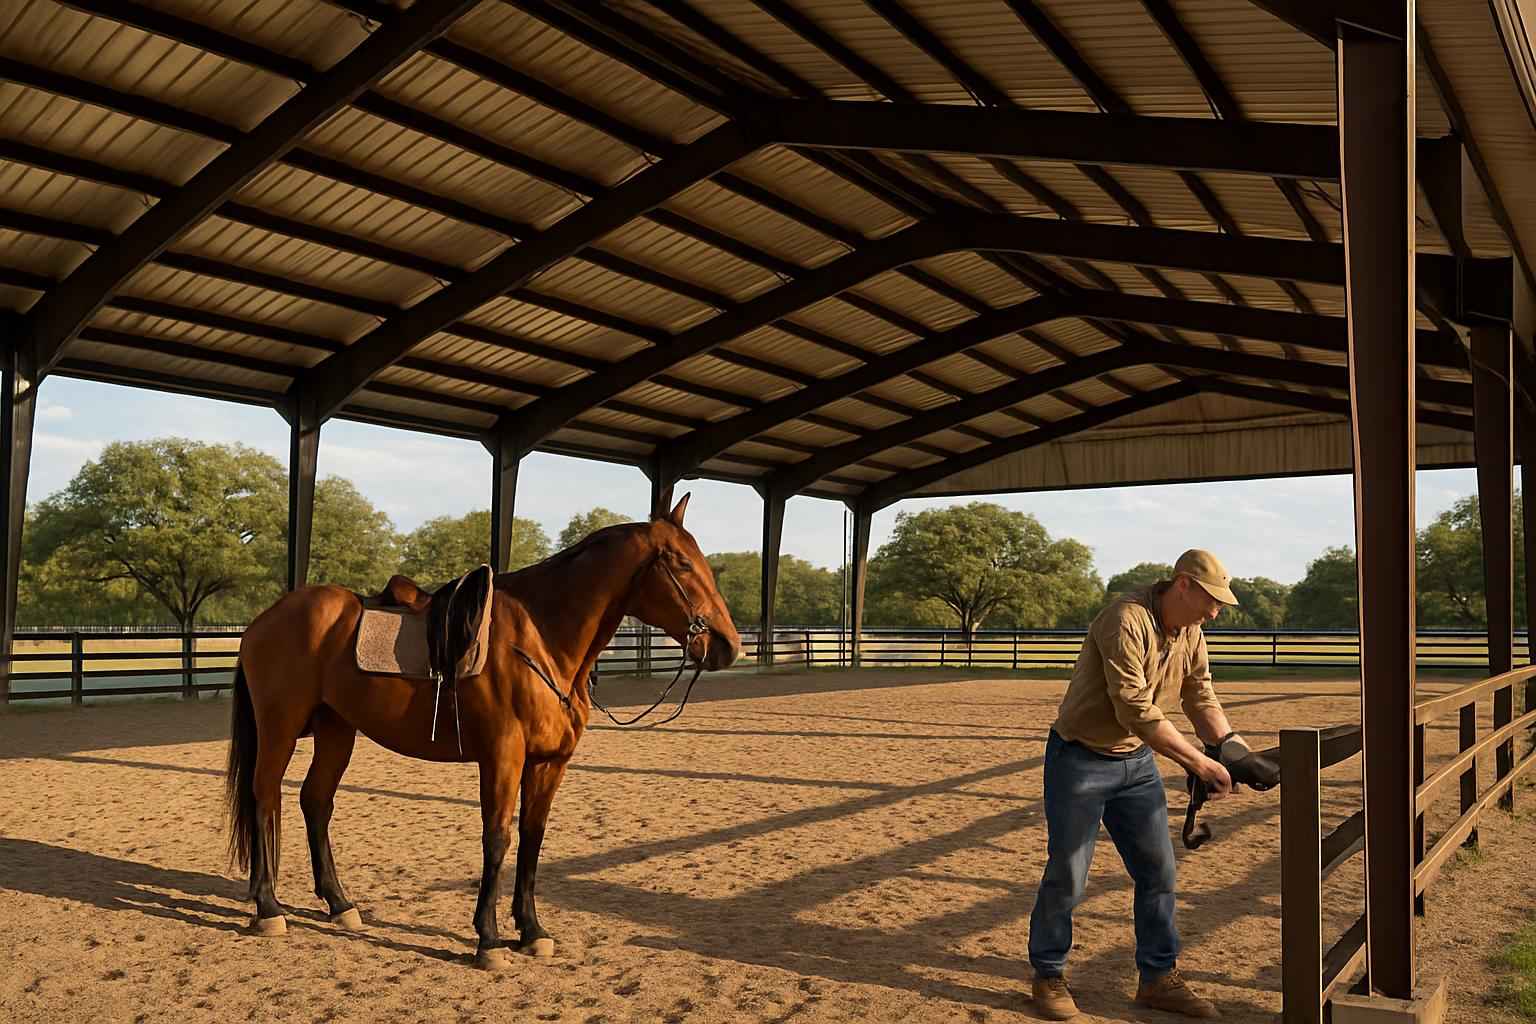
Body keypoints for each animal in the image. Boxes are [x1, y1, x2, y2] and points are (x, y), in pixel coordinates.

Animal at [223, 494, 740, 969]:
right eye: (680, 563)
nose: (728, 645)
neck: (541, 638)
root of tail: (265, 620)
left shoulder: (549, 762)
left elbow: (532, 837)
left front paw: (531, 931)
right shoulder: (502, 755)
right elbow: (497, 837)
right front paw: (488, 940)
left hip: (336, 731)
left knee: (315, 802)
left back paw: (340, 904)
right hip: (280, 729)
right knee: (265, 796)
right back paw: (269, 909)